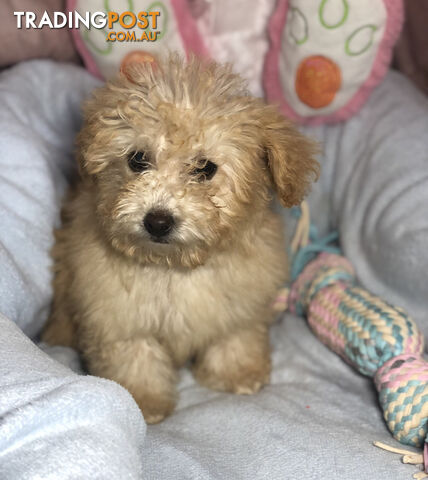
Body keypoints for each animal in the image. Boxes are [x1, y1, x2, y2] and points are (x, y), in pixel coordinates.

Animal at [42, 57, 318, 424]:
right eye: (137, 159)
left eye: (204, 168)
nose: (158, 221)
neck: (175, 267)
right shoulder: (118, 315)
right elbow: (135, 358)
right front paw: (144, 402)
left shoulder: (240, 304)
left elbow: (236, 337)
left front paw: (237, 374)